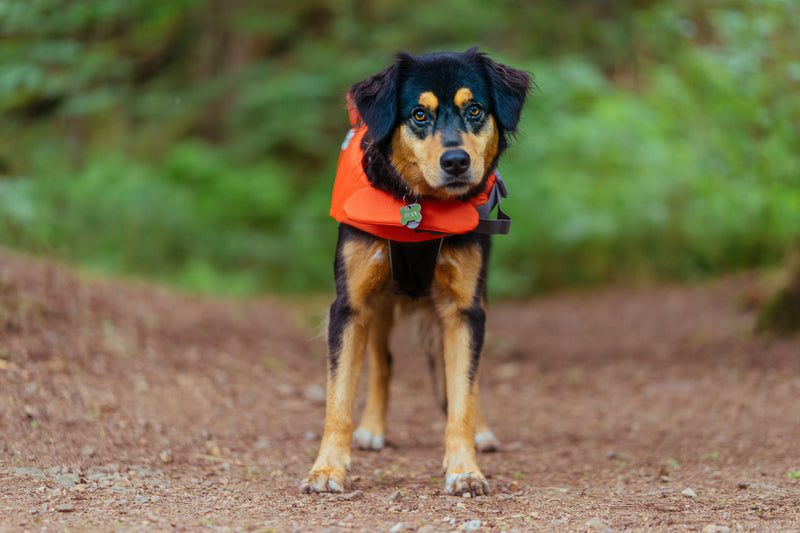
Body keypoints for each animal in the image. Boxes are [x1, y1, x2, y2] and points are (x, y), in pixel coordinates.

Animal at [302, 47, 532, 496]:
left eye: (475, 109)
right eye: (419, 115)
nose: (456, 160)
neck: (422, 209)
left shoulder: (464, 310)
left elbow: (462, 395)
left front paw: (465, 469)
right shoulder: (350, 306)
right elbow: (339, 399)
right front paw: (326, 469)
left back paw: (482, 433)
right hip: (378, 307)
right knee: (383, 362)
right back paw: (372, 428)